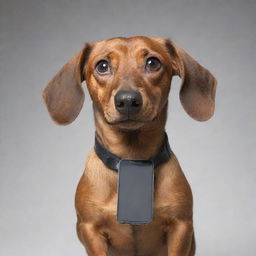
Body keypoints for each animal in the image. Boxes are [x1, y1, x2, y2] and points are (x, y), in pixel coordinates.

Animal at [42, 36, 216, 256]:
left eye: (152, 63)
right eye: (102, 66)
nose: (127, 100)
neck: (132, 156)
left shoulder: (181, 227)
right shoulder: (90, 230)